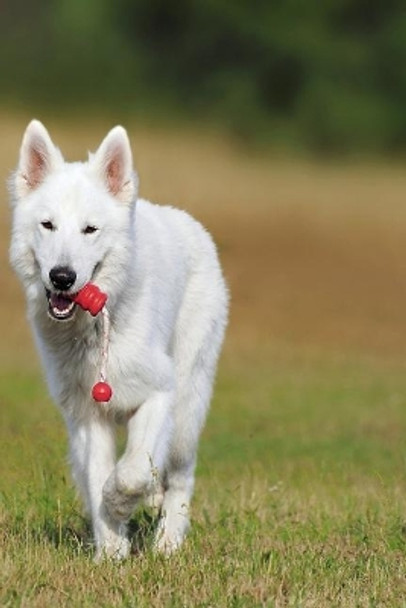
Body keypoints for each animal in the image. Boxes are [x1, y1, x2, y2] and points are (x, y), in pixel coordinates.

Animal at [8, 120, 228, 560]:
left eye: (90, 230)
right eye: (47, 225)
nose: (62, 277)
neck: (95, 328)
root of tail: (190, 223)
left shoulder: (160, 394)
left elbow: (131, 472)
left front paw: (120, 505)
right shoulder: (88, 416)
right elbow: (98, 477)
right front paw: (110, 550)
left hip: (187, 406)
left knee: (181, 475)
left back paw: (168, 543)